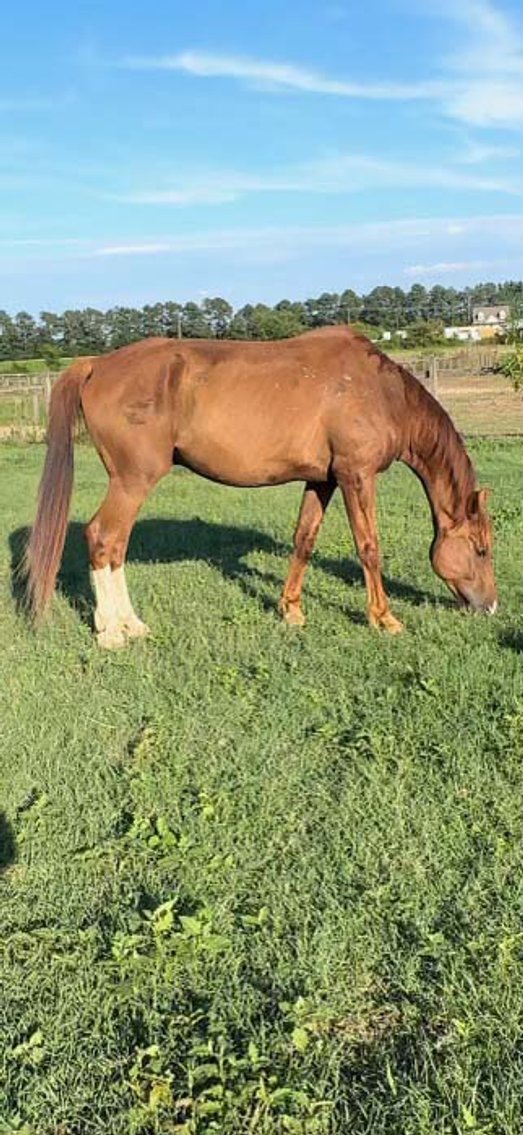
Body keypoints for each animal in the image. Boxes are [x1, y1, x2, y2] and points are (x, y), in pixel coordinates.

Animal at [26, 327, 497, 648]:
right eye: (481, 550)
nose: (490, 606)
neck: (380, 391)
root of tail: (96, 364)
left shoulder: (322, 480)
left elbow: (304, 540)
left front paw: (291, 610)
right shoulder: (356, 476)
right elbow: (369, 547)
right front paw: (384, 619)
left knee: (114, 545)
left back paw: (128, 625)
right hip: (132, 482)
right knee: (104, 538)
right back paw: (114, 631)